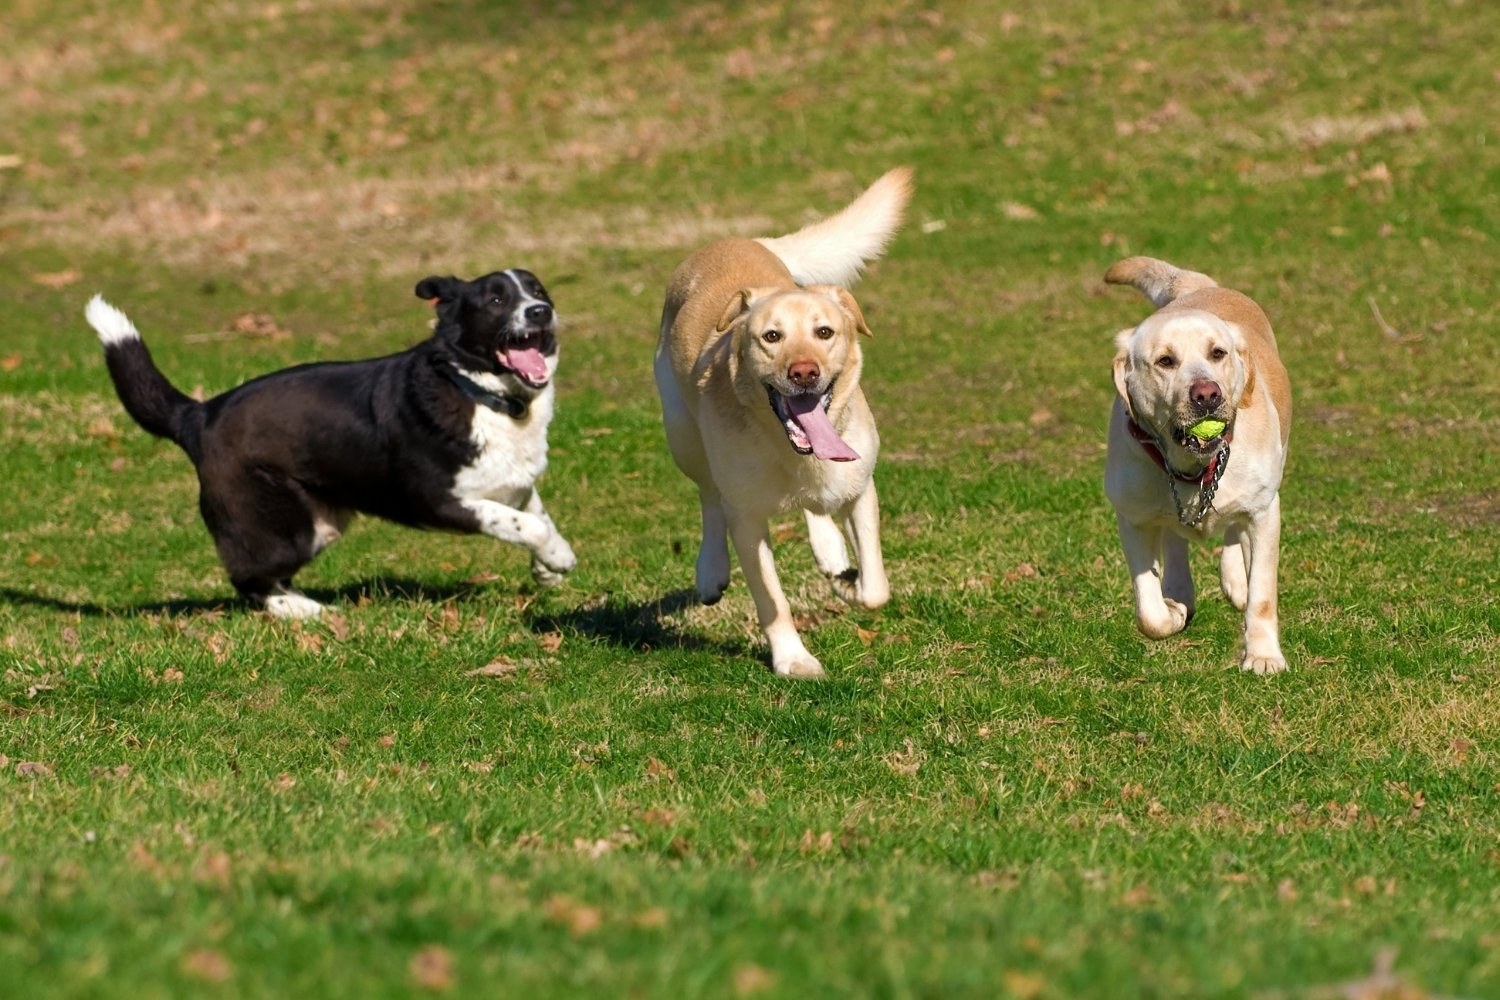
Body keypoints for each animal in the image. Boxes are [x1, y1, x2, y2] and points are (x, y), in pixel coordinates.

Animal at [83, 274, 573, 617]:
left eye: (537, 289)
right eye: (497, 300)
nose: (541, 311)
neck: (484, 394)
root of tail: (199, 416)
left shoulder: (515, 483)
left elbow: (536, 513)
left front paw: (548, 566)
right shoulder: (440, 501)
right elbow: (528, 525)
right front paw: (557, 557)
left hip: (319, 523)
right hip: (284, 529)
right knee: (248, 579)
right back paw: (302, 610)